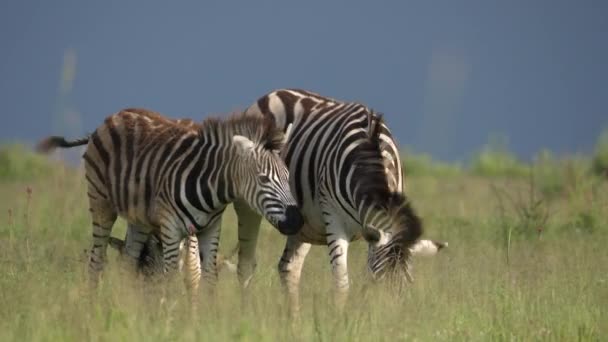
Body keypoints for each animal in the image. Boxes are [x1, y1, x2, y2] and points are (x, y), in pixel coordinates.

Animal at [36, 107, 302, 288]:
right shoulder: (171, 228)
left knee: (128, 262)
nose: (296, 220)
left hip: (139, 219)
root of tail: (112, 116)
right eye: (264, 179)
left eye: (289, 176)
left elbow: (204, 278)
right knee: (97, 261)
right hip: (100, 202)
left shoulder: (210, 228)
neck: (209, 186)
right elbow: (172, 278)